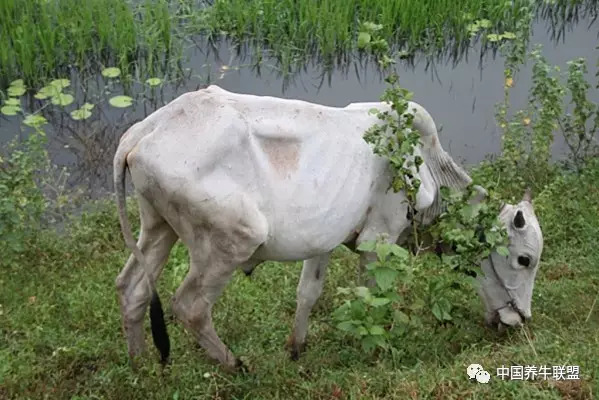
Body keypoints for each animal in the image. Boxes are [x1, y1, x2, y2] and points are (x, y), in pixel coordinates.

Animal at [112, 86, 544, 370]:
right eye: (524, 259)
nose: (521, 319)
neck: (428, 168)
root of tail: (143, 131)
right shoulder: (378, 239)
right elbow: (373, 296)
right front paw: (374, 351)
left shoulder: (323, 240)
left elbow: (308, 293)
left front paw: (296, 348)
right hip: (231, 241)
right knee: (190, 307)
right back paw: (235, 364)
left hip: (158, 226)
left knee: (132, 289)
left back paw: (138, 365)